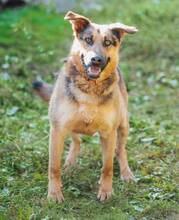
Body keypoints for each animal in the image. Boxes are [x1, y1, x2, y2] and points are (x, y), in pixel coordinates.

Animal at [33, 11, 137, 202]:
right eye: (88, 40)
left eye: (108, 42)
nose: (96, 60)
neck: (90, 87)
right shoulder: (57, 129)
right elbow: (53, 167)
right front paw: (54, 193)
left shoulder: (108, 133)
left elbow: (107, 167)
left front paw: (106, 191)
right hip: (69, 126)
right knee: (77, 141)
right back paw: (69, 164)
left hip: (124, 125)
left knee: (120, 150)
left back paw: (126, 173)